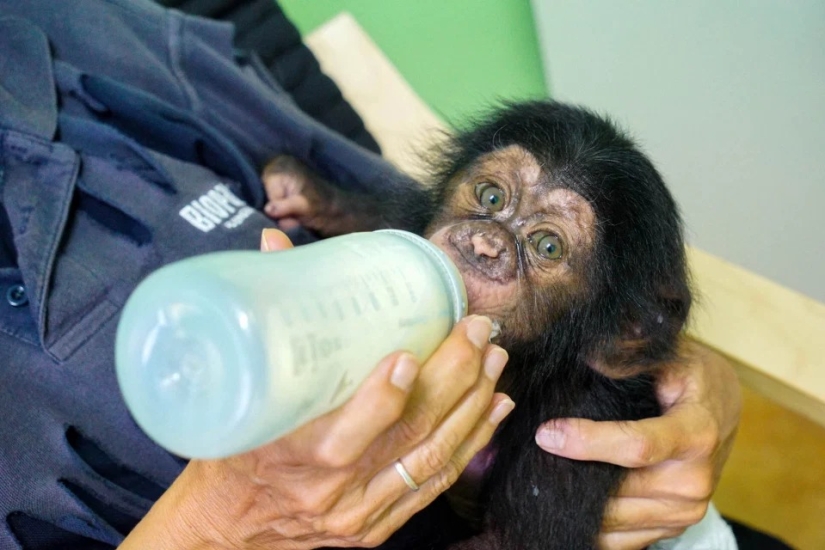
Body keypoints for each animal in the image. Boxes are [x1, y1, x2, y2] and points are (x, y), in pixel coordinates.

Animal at [262, 102, 688, 550]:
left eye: (548, 246)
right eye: (492, 196)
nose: (485, 245)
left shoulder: (584, 416)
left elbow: (513, 542)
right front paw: (307, 192)